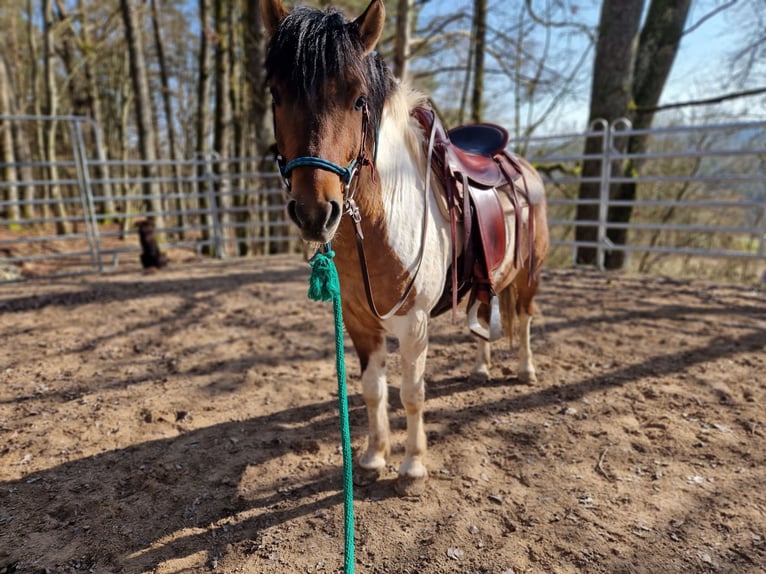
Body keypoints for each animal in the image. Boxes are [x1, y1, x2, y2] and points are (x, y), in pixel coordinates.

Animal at [261, 0, 549, 496]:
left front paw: (413, 465)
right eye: (276, 95)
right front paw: (373, 457)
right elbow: (373, 390)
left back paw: (526, 369)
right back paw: (481, 368)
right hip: (487, 281)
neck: (382, 224)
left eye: (359, 99)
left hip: (529, 276)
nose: (316, 212)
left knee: (526, 318)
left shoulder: (414, 324)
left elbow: (411, 393)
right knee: (484, 317)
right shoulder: (359, 321)